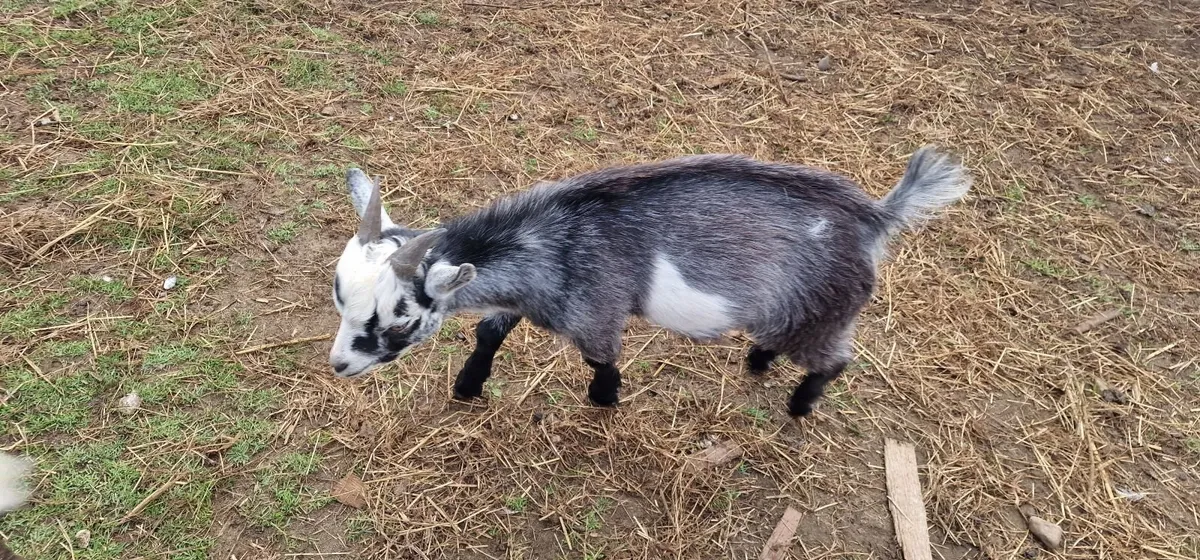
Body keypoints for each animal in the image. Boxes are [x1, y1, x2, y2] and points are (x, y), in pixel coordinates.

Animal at [328, 146, 970, 416]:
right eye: (339, 298)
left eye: (398, 322)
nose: (338, 365)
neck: (552, 238)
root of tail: (874, 217)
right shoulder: (529, 293)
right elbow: (489, 331)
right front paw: (467, 385)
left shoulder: (595, 308)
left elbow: (601, 357)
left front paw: (605, 399)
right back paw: (759, 360)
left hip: (825, 311)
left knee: (834, 360)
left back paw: (799, 405)